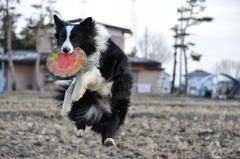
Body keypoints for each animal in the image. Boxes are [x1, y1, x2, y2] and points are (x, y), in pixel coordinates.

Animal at [53, 15, 133, 147]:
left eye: (75, 38)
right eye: (62, 37)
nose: (65, 49)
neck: (91, 48)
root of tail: (98, 113)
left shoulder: (105, 71)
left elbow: (83, 77)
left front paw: (77, 94)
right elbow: (69, 89)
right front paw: (66, 108)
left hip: (119, 107)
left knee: (111, 125)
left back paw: (108, 140)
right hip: (84, 105)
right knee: (80, 119)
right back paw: (80, 131)